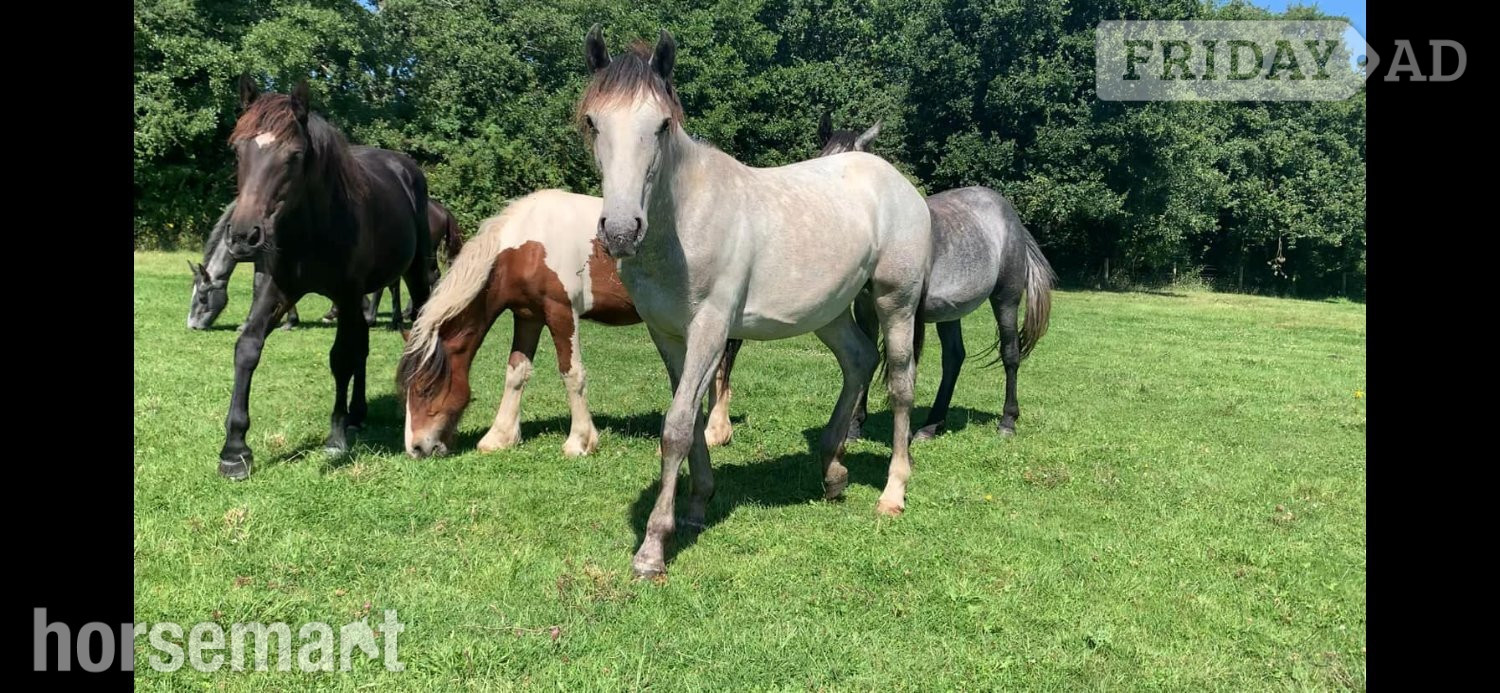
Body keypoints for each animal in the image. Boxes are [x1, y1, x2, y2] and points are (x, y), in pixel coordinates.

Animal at [215, 76, 434, 480]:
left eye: (294, 155)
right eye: (237, 151)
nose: (242, 237)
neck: (310, 229)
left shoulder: (345, 295)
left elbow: (340, 358)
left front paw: (335, 437)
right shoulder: (274, 290)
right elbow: (247, 348)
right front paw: (235, 451)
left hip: (414, 272)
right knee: (363, 345)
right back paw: (358, 413)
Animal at [579, 27, 933, 578]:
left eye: (661, 124)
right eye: (594, 122)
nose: (619, 231)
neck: (683, 220)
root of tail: (897, 183)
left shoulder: (710, 327)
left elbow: (676, 426)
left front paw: (653, 548)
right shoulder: (667, 333)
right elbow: (691, 416)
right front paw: (697, 506)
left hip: (896, 302)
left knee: (899, 383)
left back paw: (893, 493)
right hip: (830, 311)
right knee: (858, 360)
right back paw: (833, 471)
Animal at [708, 115, 1057, 441]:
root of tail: (1009, 215)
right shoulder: (864, 307)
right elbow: (867, 357)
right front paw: (854, 426)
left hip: (1006, 297)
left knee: (1010, 353)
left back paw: (1007, 421)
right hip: (950, 311)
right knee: (954, 358)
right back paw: (932, 425)